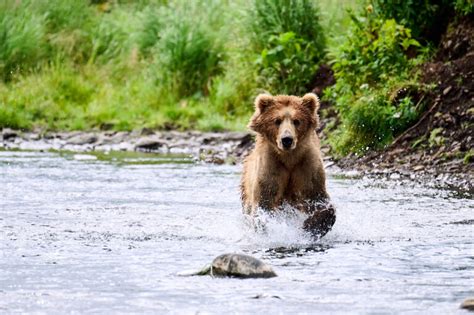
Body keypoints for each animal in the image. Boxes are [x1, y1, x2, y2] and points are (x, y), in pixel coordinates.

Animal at [241, 92, 336, 238]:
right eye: (277, 120)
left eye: (297, 121)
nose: (287, 140)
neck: (289, 158)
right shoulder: (271, 166)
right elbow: (265, 202)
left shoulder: (306, 165)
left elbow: (317, 197)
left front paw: (310, 226)